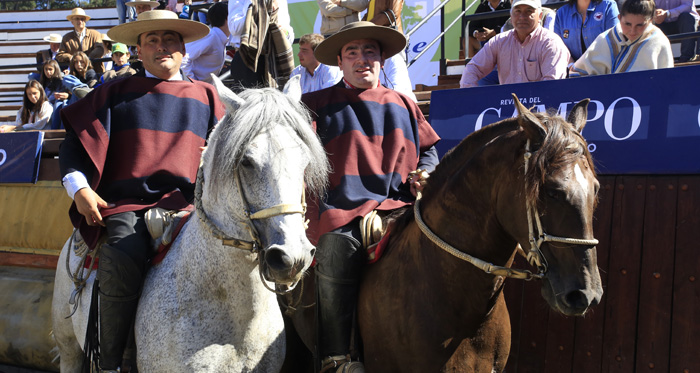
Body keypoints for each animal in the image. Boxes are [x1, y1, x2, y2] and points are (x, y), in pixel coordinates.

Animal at [52, 77, 330, 370]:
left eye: (304, 162)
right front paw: (87, 199)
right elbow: (74, 143)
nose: (293, 257)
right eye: (246, 161)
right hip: (69, 349)